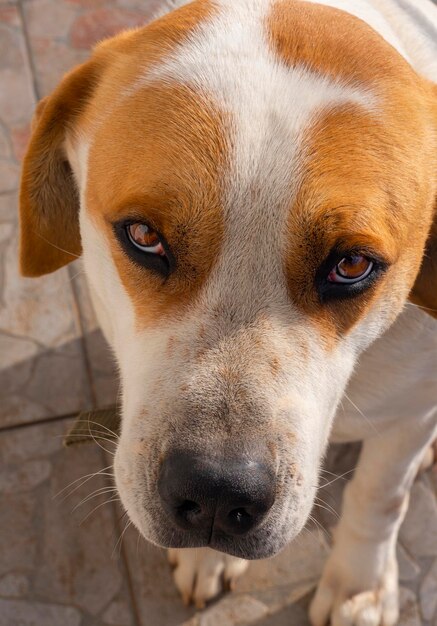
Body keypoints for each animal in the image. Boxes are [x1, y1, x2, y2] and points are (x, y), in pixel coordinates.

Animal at [17, 1, 436, 624]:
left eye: (353, 264)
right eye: (144, 235)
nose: (217, 492)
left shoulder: (410, 412)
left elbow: (379, 497)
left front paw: (359, 586)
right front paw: (206, 560)